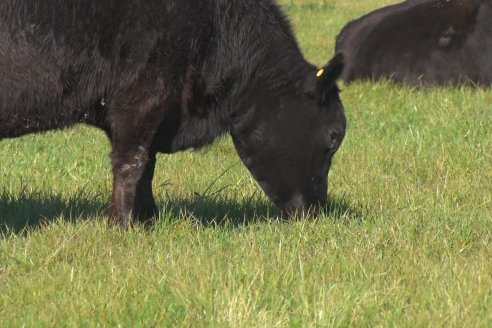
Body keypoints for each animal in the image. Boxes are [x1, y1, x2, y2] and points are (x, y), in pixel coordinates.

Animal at [0, 0, 346, 228]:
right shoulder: (144, 94)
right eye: (333, 137)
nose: (316, 212)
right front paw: (123, 226)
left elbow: (147, 166)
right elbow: (132, 162)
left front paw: (147, 221)